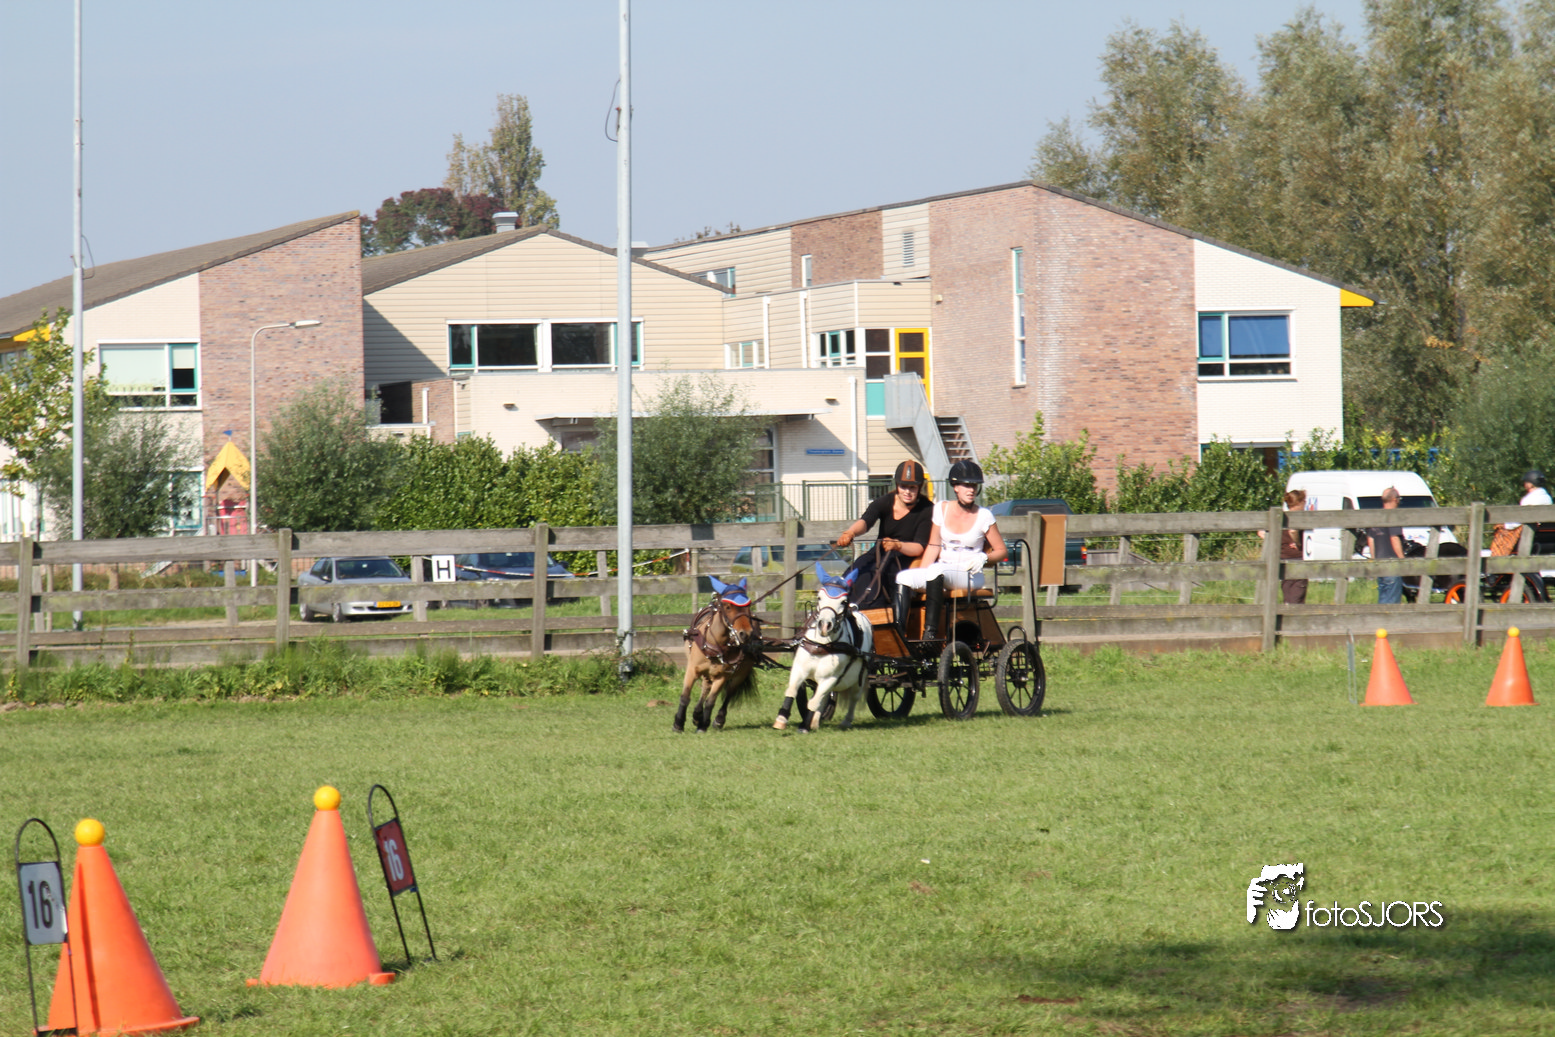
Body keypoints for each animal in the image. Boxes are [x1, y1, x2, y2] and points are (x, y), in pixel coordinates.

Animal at [675, 576, 763, 732]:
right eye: (728, 607)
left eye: (748, 606)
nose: (745, 634)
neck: (716, 643)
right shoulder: (692, 669)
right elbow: (685, 696)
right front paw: (678, 724)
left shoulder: (723, 675)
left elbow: (711, 701)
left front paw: (703, 725)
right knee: (705, 687)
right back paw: (697, 714)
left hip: (740, 673)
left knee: (729, 693)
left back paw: (718, 720)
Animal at [776, 564, 873, 732]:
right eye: (819, 597)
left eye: (843, 601)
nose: (824, 625)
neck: (821, 645)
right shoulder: (799, 669)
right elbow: (792, 690)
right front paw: (781, 719)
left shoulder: (831, 678)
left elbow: (813, 702)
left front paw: (804, 726)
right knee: (824, 697)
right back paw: (815, 721)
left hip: (859, 676)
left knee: (853, 697)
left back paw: (846, 721)